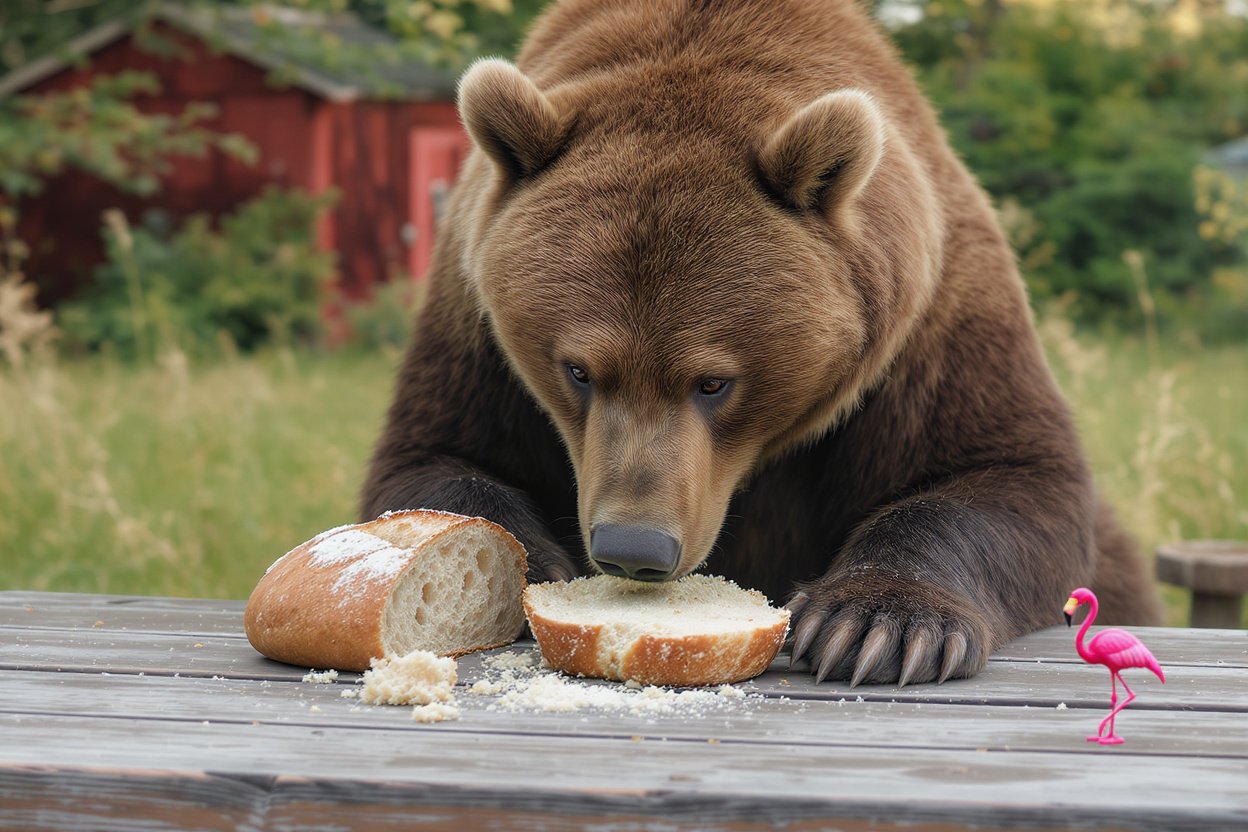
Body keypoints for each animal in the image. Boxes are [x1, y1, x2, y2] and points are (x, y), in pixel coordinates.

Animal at [361, 0, 1163, 686]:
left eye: (713, 381)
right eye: (579, 370)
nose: (634, 546)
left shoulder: (930, 329)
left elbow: (1008, 475)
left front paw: (873, 625)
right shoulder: (474, 334)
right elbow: (436, 459)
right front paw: (541, 568)